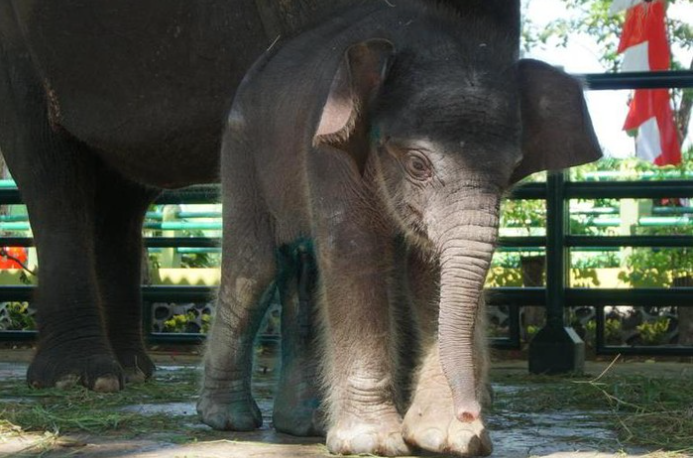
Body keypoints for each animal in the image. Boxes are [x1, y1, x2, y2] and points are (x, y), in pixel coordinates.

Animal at [198, 1, 600, 456]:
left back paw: (305, 426)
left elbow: (430, 273)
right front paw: (372, 442)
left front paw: (442, 438)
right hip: (240, 148)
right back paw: (230, 420)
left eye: (511, 169)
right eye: (417, 165)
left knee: (303, 266)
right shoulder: (328, 148)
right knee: (256, 268)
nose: (470, 414)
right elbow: (356, 251)